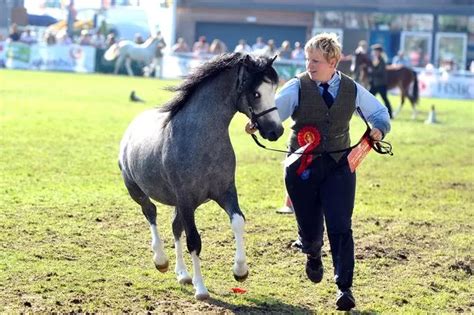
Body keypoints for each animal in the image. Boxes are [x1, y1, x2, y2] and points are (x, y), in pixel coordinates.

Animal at [118, 53, 284, 302]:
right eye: (256, 93)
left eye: (274, 89)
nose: (276, 131)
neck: (200, 139)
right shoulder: (186, 198)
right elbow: (194, 241)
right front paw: (201, 289)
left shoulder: (225, 191)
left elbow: (238, 222)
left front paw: (240, 271)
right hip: (137, 191)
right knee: (151, 213)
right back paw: (161, 261)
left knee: (175, 227)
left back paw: (183, 274)